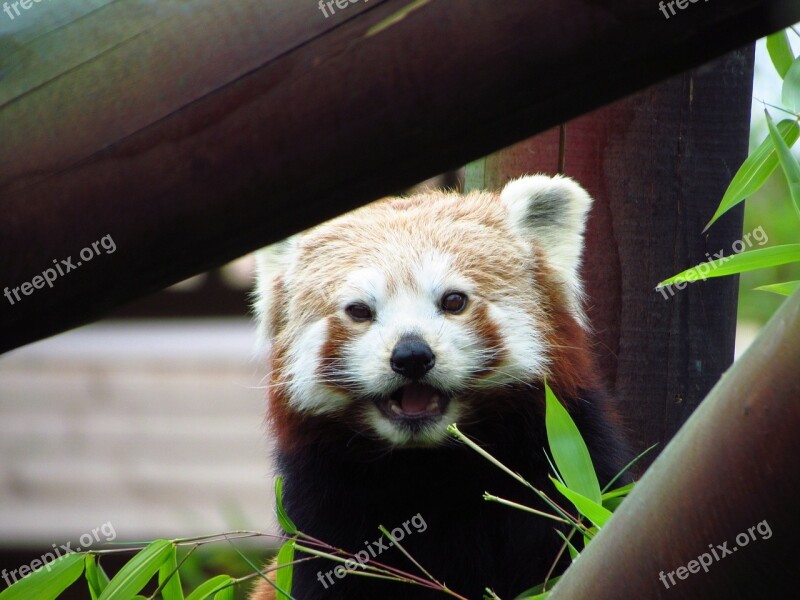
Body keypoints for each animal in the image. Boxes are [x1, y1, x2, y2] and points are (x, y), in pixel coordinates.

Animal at [247, 175, 628, 600]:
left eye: (453, 301)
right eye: (359, 311)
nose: (412, 355)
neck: (431, 468)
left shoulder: (565, 464)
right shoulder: (321, 508)